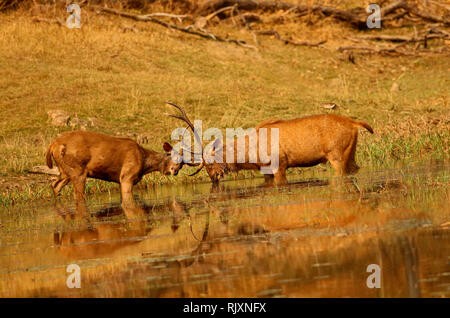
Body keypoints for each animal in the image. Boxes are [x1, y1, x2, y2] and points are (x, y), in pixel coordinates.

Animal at [45, 130, 192, 202]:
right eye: (178, 160)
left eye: (182, 165)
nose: (175, 171)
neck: (144, 162)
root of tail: (52, 145)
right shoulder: (127, 176)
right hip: (78, 170)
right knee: (77, 194)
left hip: (64, 171)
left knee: (54, 185)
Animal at [166, 102, 372, 186]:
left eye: (210, 163)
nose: (214, 178)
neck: (250, 155)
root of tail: (355, 123)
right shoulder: (265, 170)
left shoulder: (279, 164)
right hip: (350, 154)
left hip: (337, 155)